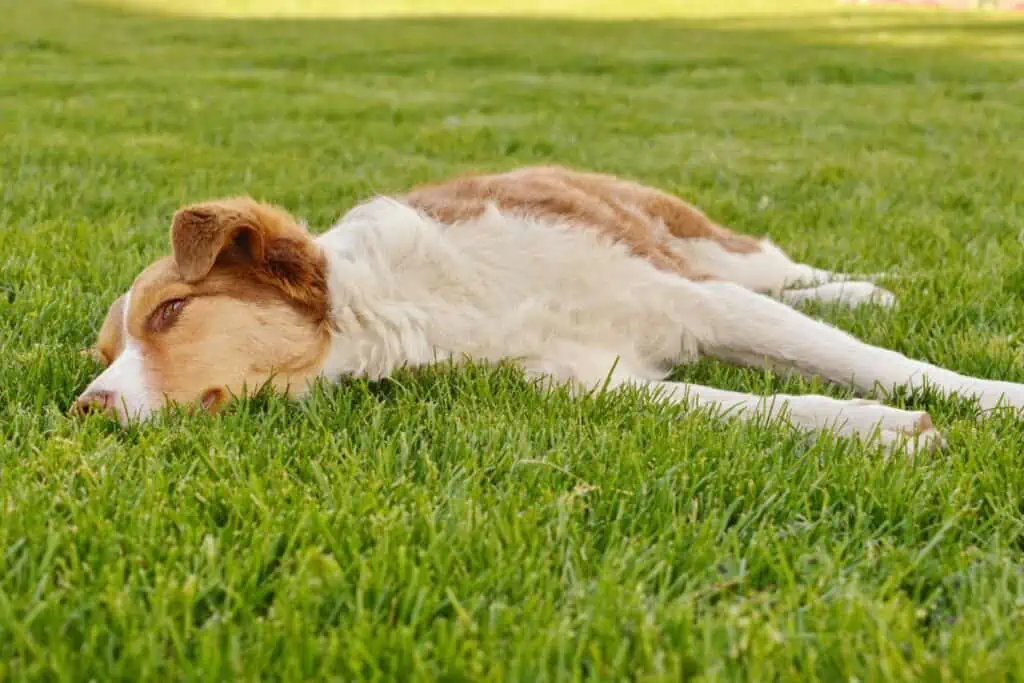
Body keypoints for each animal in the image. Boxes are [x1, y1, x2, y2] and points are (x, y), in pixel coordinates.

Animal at [75, 165, 1024, 454]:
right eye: (102, 355)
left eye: (171, 312)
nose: (85, 407)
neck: (414, 303)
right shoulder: (585, 378)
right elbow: (756, 404)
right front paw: (878, 428)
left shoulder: (697, 300)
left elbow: (886, 363)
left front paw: (996, 399)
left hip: (701, 246)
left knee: (780, 270)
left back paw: (871, 286)